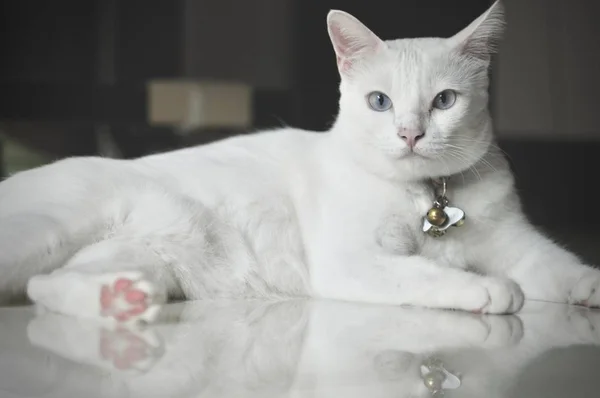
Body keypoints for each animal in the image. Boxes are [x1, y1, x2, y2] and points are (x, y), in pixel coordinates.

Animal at [1, 0, 600, 322]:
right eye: (379, 102)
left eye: (444, 101)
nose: (410, 133)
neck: (428, 196)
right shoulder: (350, 261)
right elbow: (423, 271)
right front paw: (486, 288)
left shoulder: (516, 243)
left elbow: (561, 267)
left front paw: (590, 287)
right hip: (49, 232)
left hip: (138, 256)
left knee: (46, 287)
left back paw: (122, 301)